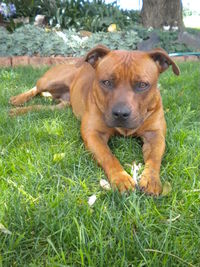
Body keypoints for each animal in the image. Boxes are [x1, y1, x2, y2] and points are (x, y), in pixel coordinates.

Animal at [9, 45, 180, 197]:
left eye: (142, 85)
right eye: (106, 82)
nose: (120, 113)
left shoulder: (155, 135)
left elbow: (154, 158)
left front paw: (151, 179)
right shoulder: (93, 134)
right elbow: (107, 155)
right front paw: (121, 178)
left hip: (60, 106)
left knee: (40, 106)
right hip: (50, 81)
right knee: (35, 89)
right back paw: (18, 100)